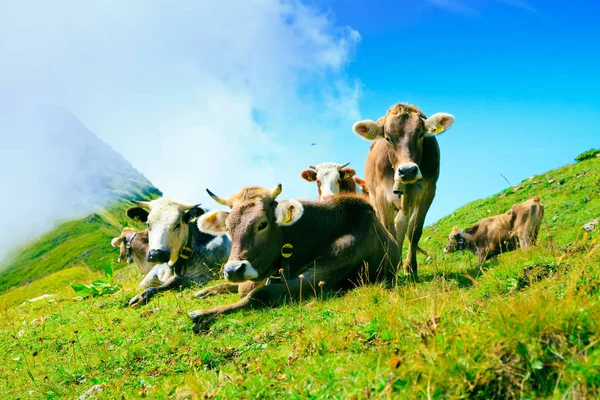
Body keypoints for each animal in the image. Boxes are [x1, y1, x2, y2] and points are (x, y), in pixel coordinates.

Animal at [185, 184, 398, 332]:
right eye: (228, 227)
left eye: (262, 224)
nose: (233, 270)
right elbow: (245, 289)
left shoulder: (321, 277)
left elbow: (259, 293)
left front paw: (204, 314)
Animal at [352, 103, 454, 278]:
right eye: (387, 138)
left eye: (420, 134)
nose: (407, 171)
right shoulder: (382, 194)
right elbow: (388, 230)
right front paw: (388, 269)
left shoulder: (428, 192)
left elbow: (413, 230)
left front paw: (410, 267)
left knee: (401, 225)